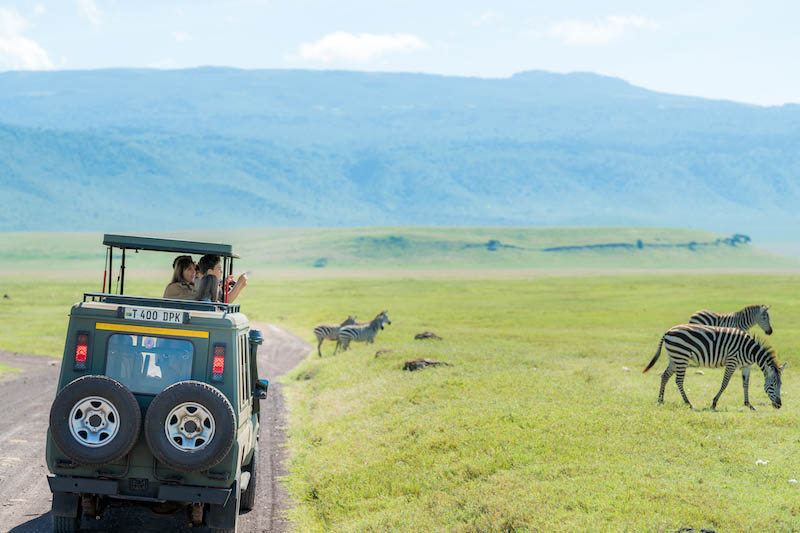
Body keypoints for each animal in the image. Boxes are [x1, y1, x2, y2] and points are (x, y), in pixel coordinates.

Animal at [640, 322, 784, 410]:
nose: (779, 405)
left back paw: (660, 400)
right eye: (772, 385)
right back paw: (689, 403)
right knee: (679, 380)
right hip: (681, 357)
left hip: (674, 358)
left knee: (665, 375)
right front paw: (714, 403)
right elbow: (725, 383)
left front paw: (748, 404)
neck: (750, 351)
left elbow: (745, 385)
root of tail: (668, 331)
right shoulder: (732, 362)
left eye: (780, 385)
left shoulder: (746, 366)